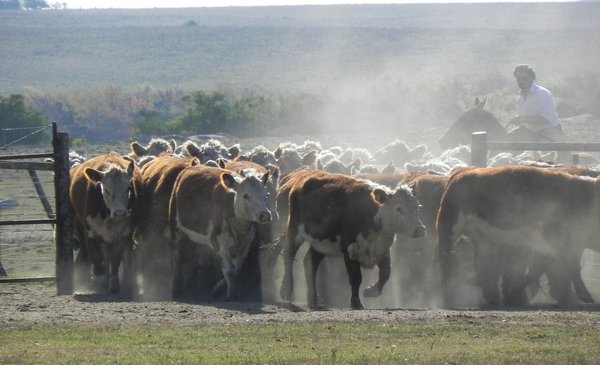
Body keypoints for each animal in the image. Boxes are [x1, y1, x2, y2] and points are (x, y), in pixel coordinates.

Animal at [69, 151, 141, 292]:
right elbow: (97, 256)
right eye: (106, 189)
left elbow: (115, 258)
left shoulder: (125, 233)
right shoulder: (91, 232)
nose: (120, 213)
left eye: (128, 187)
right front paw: (99, 274)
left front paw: (114, 285)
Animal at [169, 164, 272, 298]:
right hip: (175, 229)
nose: (265, 215)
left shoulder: (246, 244)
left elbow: (236, 269)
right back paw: (175, 289)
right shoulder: (219, 244)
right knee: (177, 258)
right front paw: (230, 294)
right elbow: (229, 271)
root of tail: (191, 166)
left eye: (265, 195)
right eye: (245, 195)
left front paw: (218, 288)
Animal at [278, 169, 424, 308]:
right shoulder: (350, 250)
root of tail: (302, 178)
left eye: (417, 207)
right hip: (294, 229)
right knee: (288, 255)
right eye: (399, 208)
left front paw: (371, 291)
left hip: (320, 242)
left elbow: (385, 273)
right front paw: (355, 302)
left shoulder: (382, 250)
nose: (420, 229)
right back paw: (286, 289)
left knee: (310, 262)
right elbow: (356, 278)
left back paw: (313, 299)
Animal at [436, 165, 600, 308]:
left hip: (483, 238)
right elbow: (572, 267)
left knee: (483, 263)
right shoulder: (560, 239)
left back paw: (491, 296)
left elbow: (537, 270)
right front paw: (585, 295)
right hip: (449, 228)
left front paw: (513, 289)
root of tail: (462, 172)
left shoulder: (549, 246)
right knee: (445, 260)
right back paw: (448, 299)